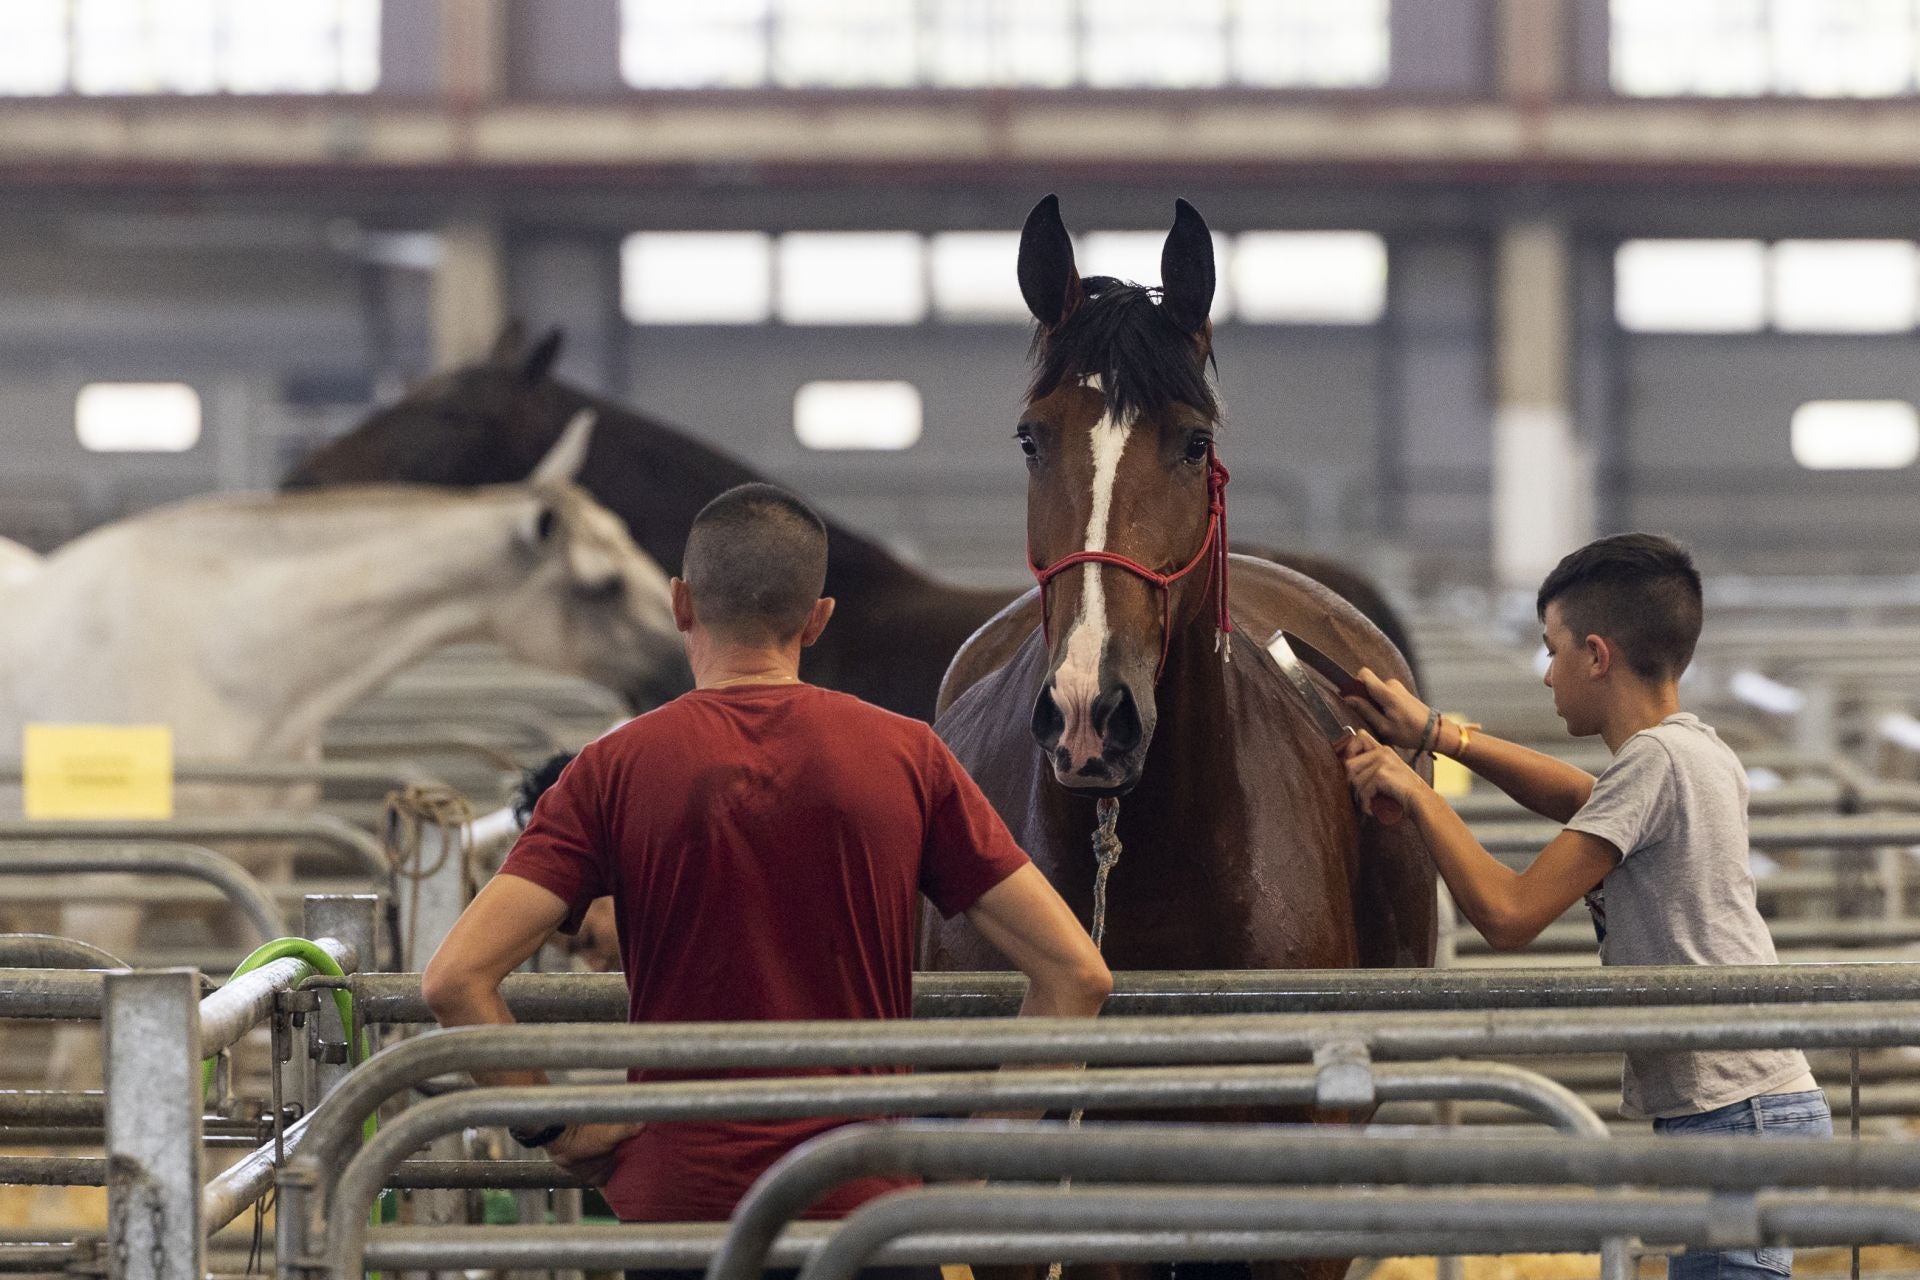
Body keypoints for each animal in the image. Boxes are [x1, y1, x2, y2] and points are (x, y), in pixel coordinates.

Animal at [0, 413, 682, 1083]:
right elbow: (74, 1070)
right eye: (606, 584)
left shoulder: (249, 879)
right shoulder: (104, 893)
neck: (219, 662)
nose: (679, 671)